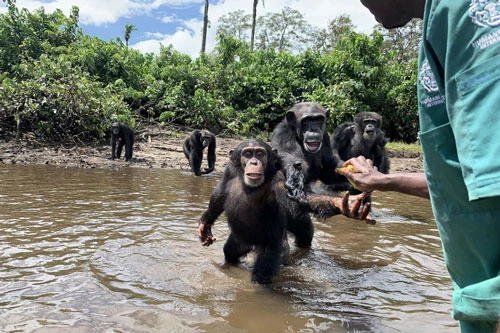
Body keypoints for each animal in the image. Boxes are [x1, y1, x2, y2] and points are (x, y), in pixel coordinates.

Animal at [197, 137, 374, 282]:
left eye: (260, 154)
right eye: (247, 154)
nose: (254, 162)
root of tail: (252, 246)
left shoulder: (279, 181)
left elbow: (300, 199)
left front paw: (345, 204)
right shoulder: (229, 170)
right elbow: (220, 194)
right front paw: (205, 225)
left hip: (272, 248)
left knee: (261, 274)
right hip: (239, 240)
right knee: (230, 252)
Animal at [270, 102, 344, 248]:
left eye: (318, 119)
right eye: (306, 120)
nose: (314, 129)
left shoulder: (326, 136)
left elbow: (328, 170)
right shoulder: (283, 136)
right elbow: (288, 156)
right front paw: (295, 176)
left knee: (306, 234)